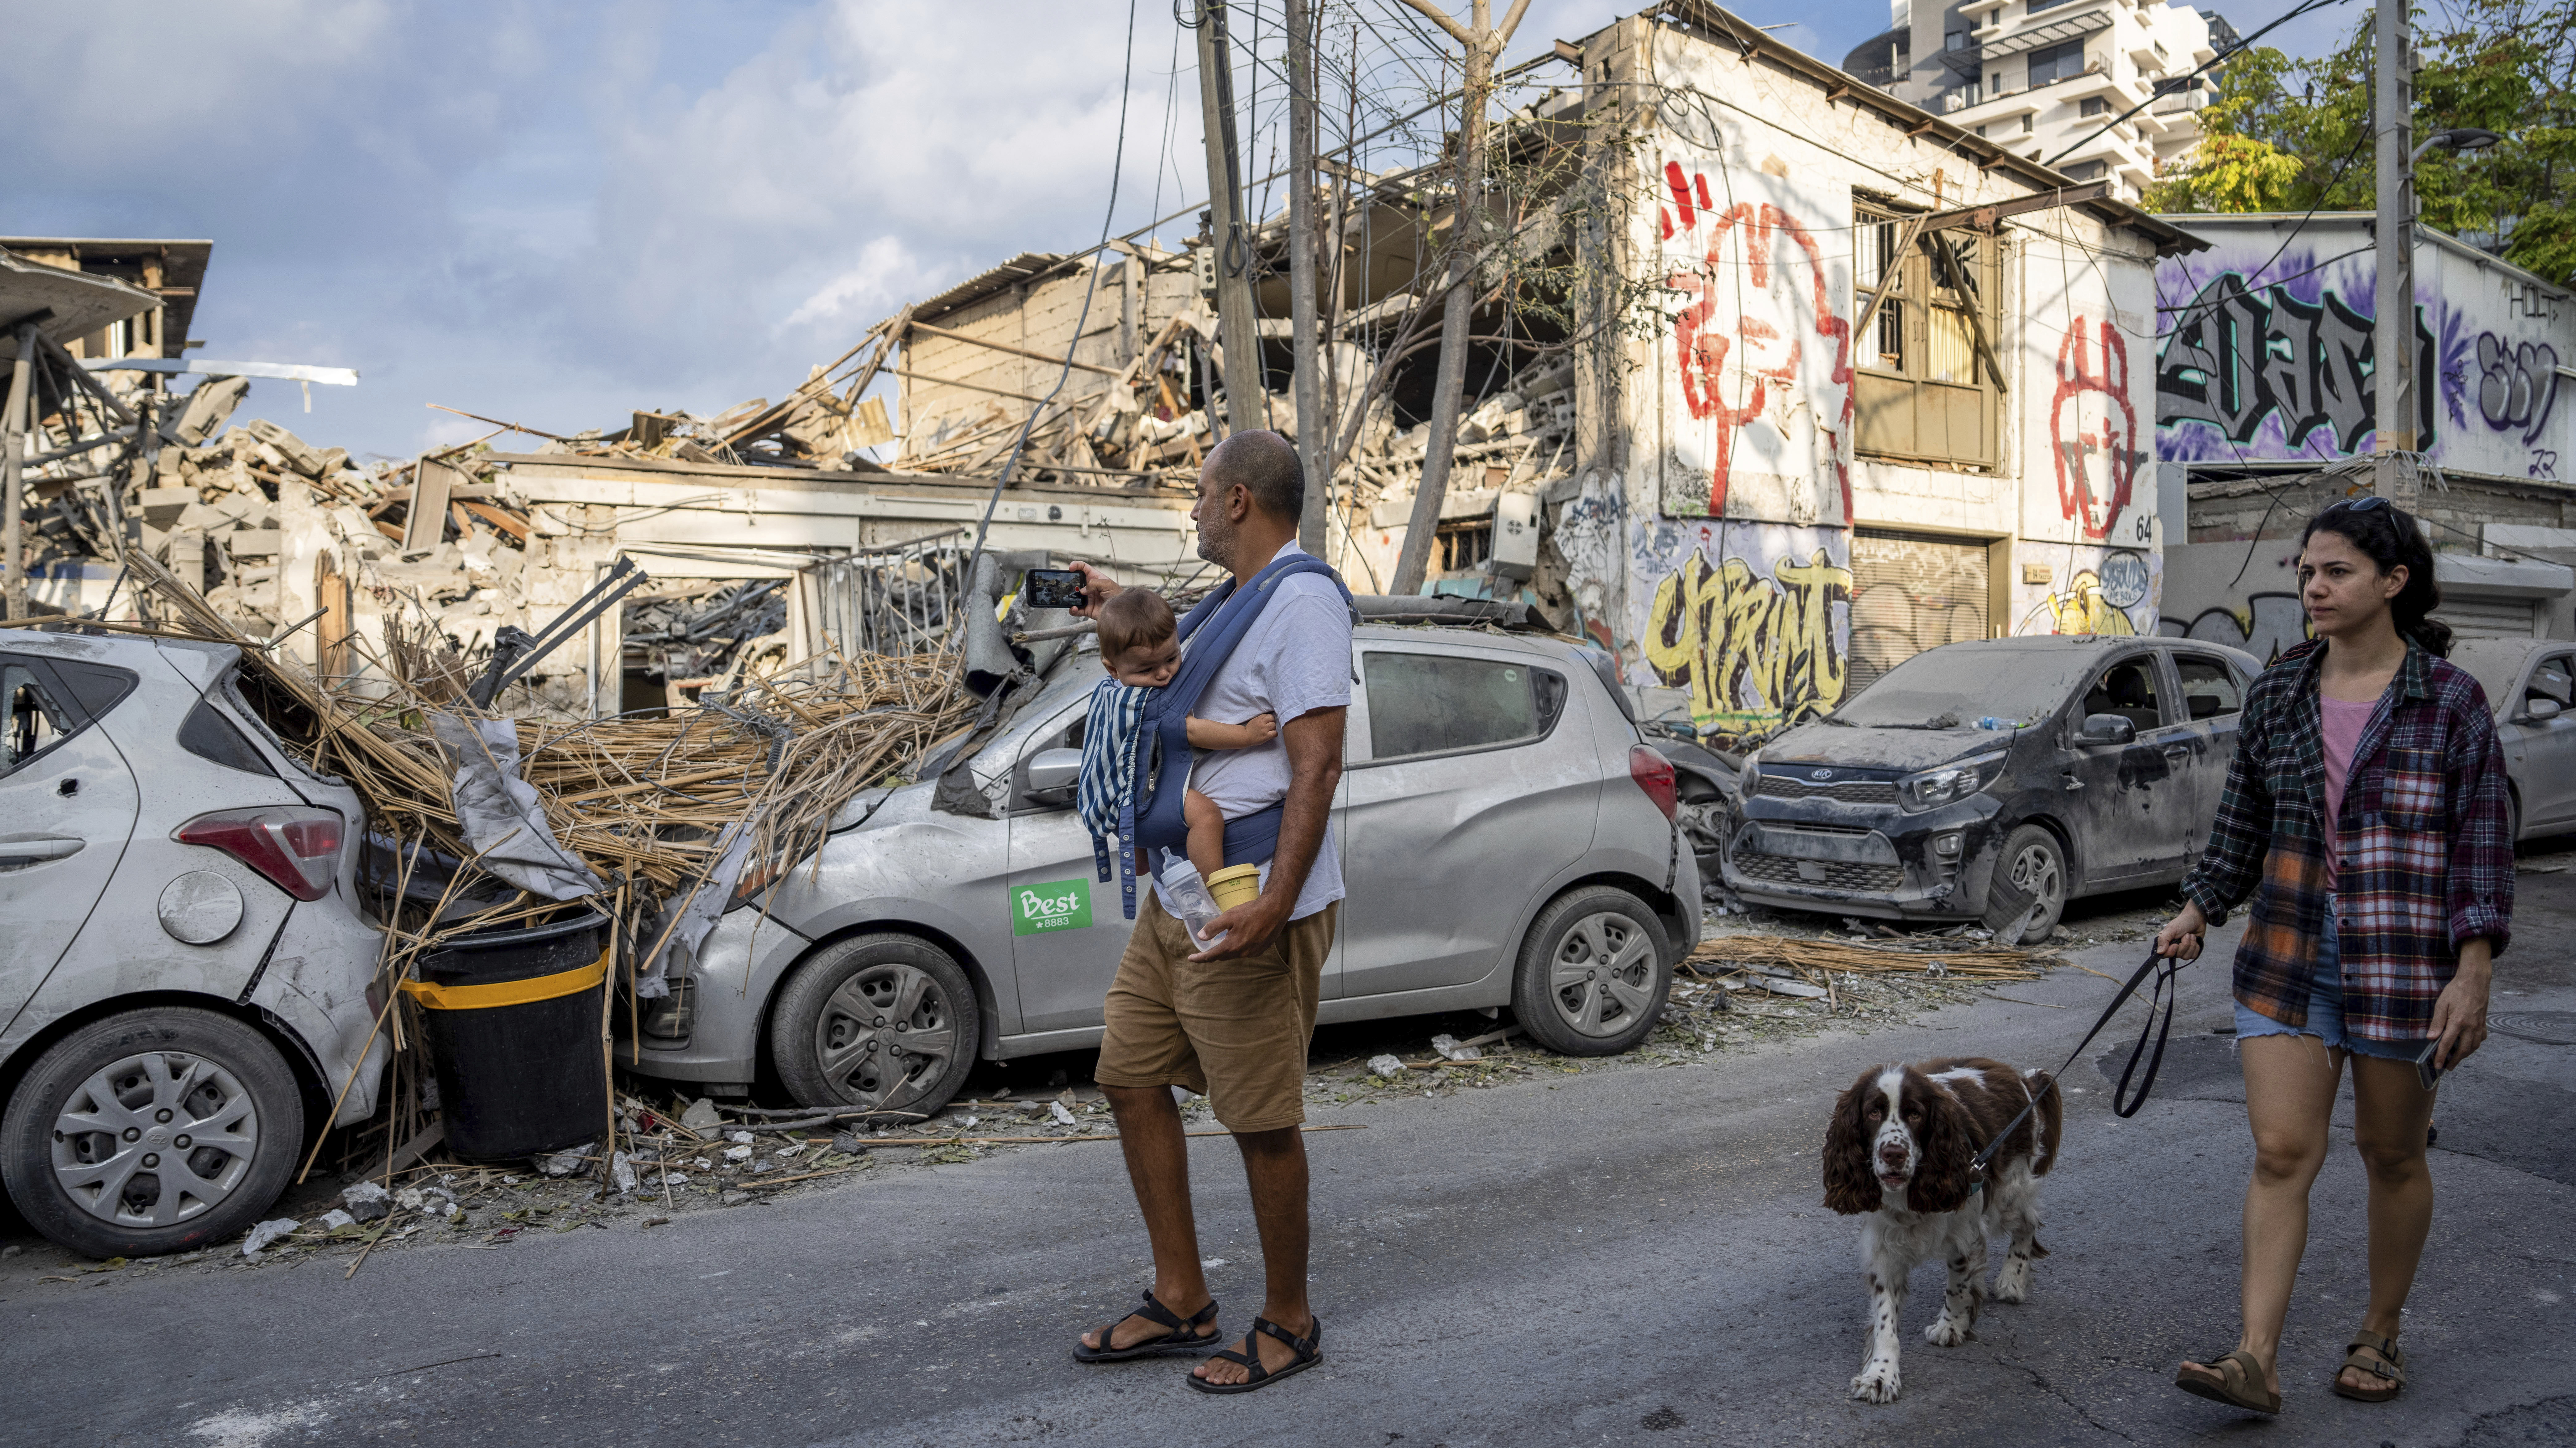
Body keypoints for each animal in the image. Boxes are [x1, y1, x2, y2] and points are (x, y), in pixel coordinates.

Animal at [1824, 1056, 2061, 1391]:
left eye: (1915, 1113)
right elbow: (1885, 1316)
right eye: (1873, 1112)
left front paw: (1951, 1326)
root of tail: (2022, 1079)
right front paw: (1880, 1375)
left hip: (2010, 1191)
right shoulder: (1884, 1247)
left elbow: (1957, 1286)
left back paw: (2011, 1281)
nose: (1893, 1154)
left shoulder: (1963, 1231)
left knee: (2027, 1223)